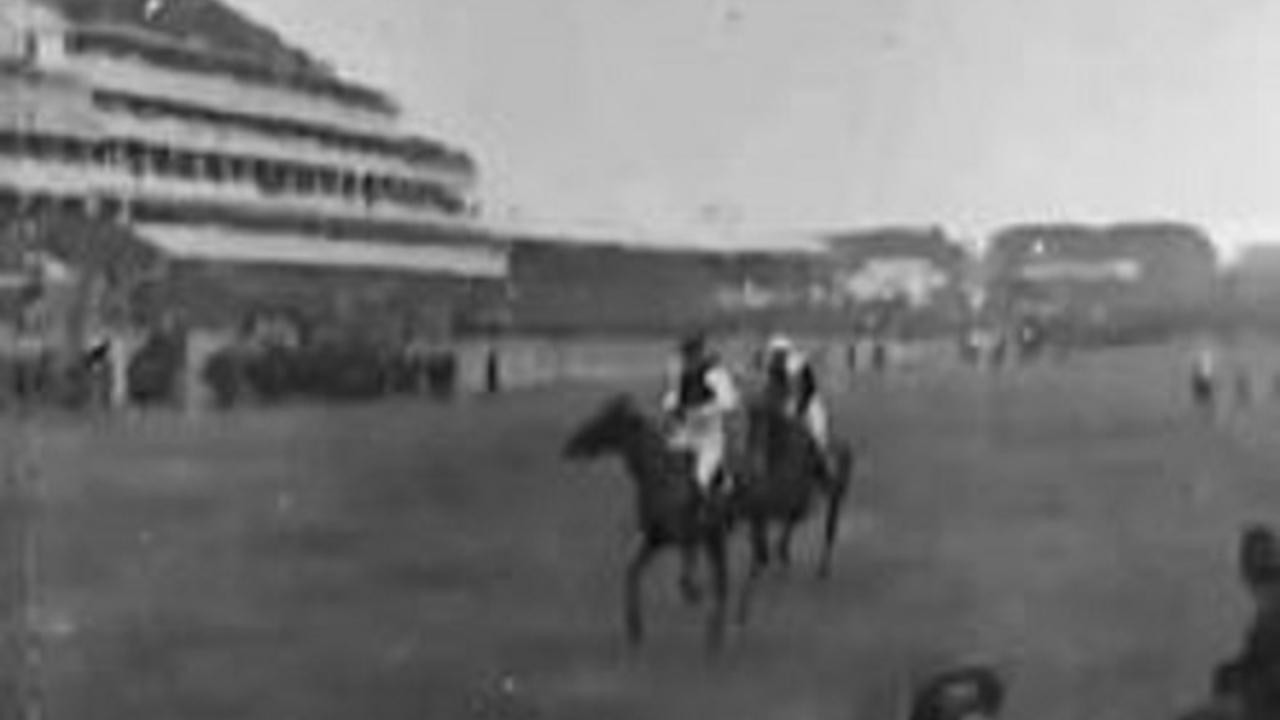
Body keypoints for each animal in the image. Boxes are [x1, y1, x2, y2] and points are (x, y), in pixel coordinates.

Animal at [563, 393, 732, 651]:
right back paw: (715, 635)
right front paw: (634, 628)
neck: (658, 476)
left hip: (716, 537)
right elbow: (632, 570)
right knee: (723, 584)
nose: (571, 446)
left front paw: (693, 592)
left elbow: (686, 569)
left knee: (723, 583)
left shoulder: (688, 533)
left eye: (603, 420)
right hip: (715, 538)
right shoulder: (655, 538)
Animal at [734, 392, 854, 625]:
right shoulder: (759, 513)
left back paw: (823, 569)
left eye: (767, 429)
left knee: (830, 527)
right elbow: (761, 552)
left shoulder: (797, 506)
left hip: (835, 493)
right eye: (749, 430)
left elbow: (776, 546)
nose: (751, 468)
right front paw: (743, 607)